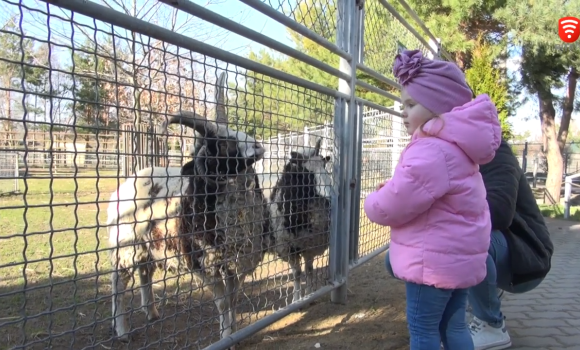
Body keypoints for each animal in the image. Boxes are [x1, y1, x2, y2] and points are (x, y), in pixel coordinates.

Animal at [270, 137, 334, 304]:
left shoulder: (311, 246)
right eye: (306, 173)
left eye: (324, 166)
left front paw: (309, 295)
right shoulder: (289, 248)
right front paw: (296, 300)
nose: (329, 198)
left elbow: (309, 271)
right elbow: (297, 274)